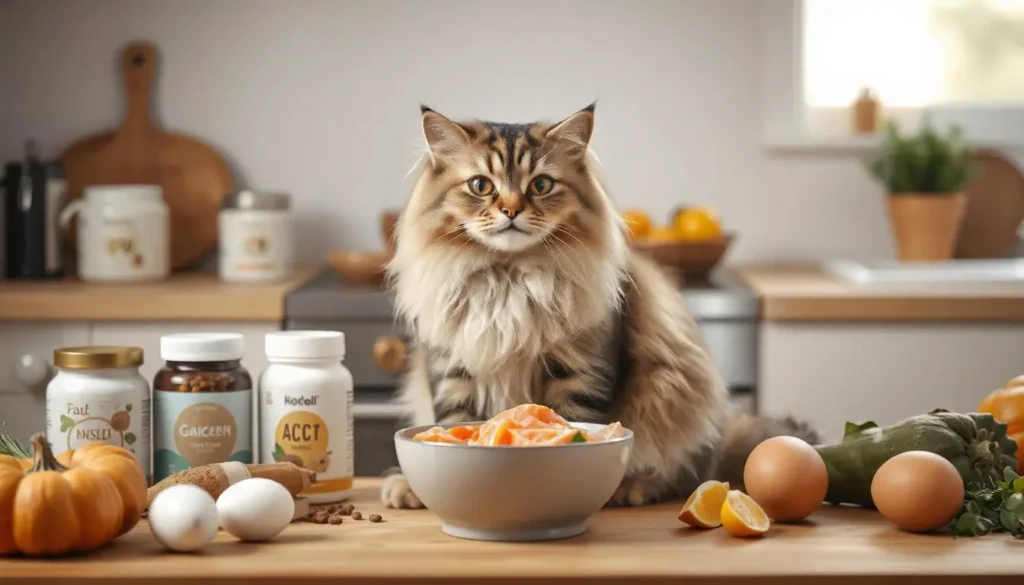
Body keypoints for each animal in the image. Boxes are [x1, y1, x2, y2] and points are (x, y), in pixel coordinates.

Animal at [376, 105, 815, 508]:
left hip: (677, 396)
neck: (509, 280)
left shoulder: (582, 371)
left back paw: (634, 487)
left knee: (688, 478)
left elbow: (571, 426)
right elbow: (451, 426)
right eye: (481, 185)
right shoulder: (451, 369)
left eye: (541, 185)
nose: (511, 211)